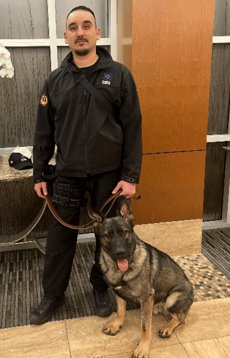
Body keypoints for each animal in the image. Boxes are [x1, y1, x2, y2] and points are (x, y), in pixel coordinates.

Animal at [87, 196, 192, 358]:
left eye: (124, 232)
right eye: (107, 235)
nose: (120, 253)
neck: (123, 271)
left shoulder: (146, 299)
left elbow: (144, 327)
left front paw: (142, 347)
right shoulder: (119, 293)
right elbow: (121, 312)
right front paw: (116, 325)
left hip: (172, 297)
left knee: (181, 318)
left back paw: (167, 327)